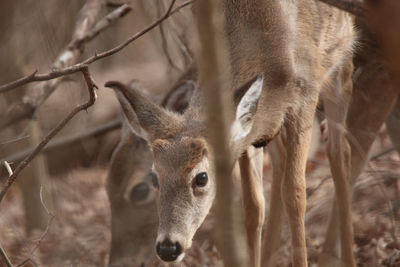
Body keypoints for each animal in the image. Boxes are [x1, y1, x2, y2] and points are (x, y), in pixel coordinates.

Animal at [104, 0, 354, 267]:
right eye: (154, 177)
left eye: (201, 177)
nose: (168, 247)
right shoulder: (248, 133)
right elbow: (254, 206)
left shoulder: (306, 94)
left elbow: (295, 194)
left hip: (341, 62)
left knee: (339, 152)